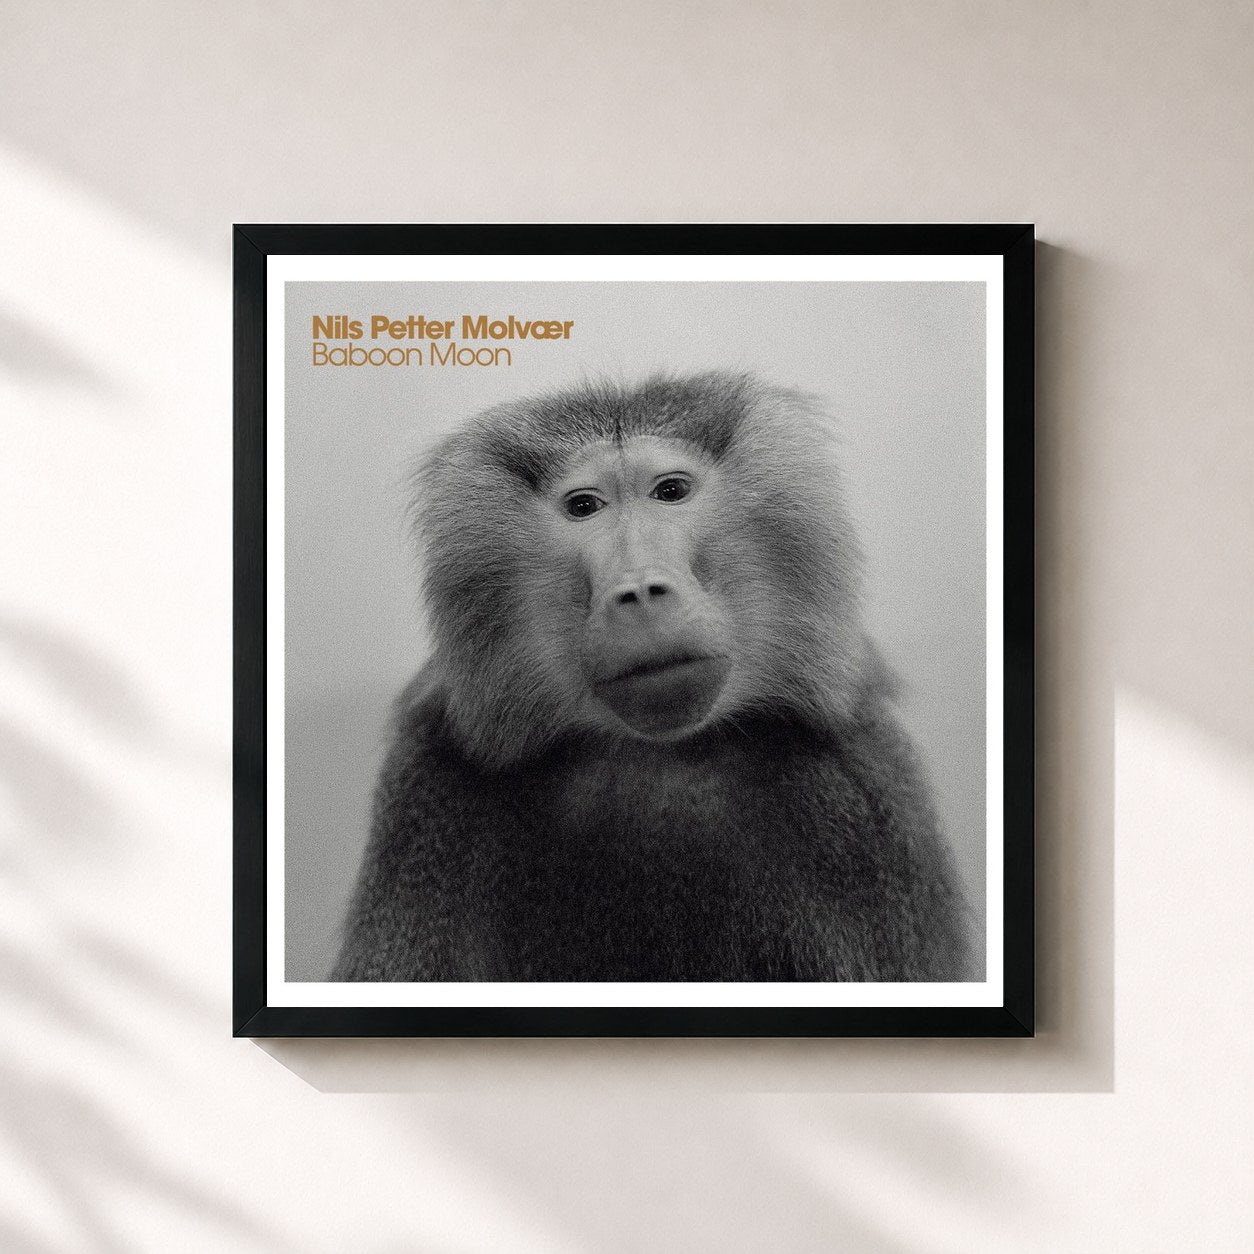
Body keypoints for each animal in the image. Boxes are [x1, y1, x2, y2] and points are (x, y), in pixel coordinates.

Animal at [331, 372, 973, 983]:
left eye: (670, 492)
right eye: (584, 507)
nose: (640, 590)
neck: (656, 754)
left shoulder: (857, 798)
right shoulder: (429, 797)